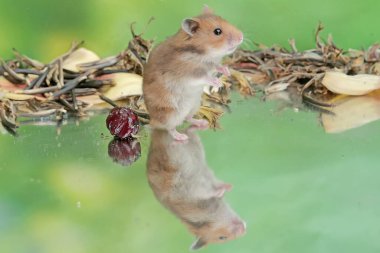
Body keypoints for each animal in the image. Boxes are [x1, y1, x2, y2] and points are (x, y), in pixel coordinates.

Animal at [142, 6, 243, 140]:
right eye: (217, 31)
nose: (241, 36)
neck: (203, 53)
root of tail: (152, 120)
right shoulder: (190, 74)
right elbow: (205, 77)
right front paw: (218, 83)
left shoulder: (212, 64)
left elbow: (217, 67)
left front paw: (227, 72)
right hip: (172, 114)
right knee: (170, 128)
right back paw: (181, 137)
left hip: (194, 105)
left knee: (188, 118)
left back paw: (202, 123)